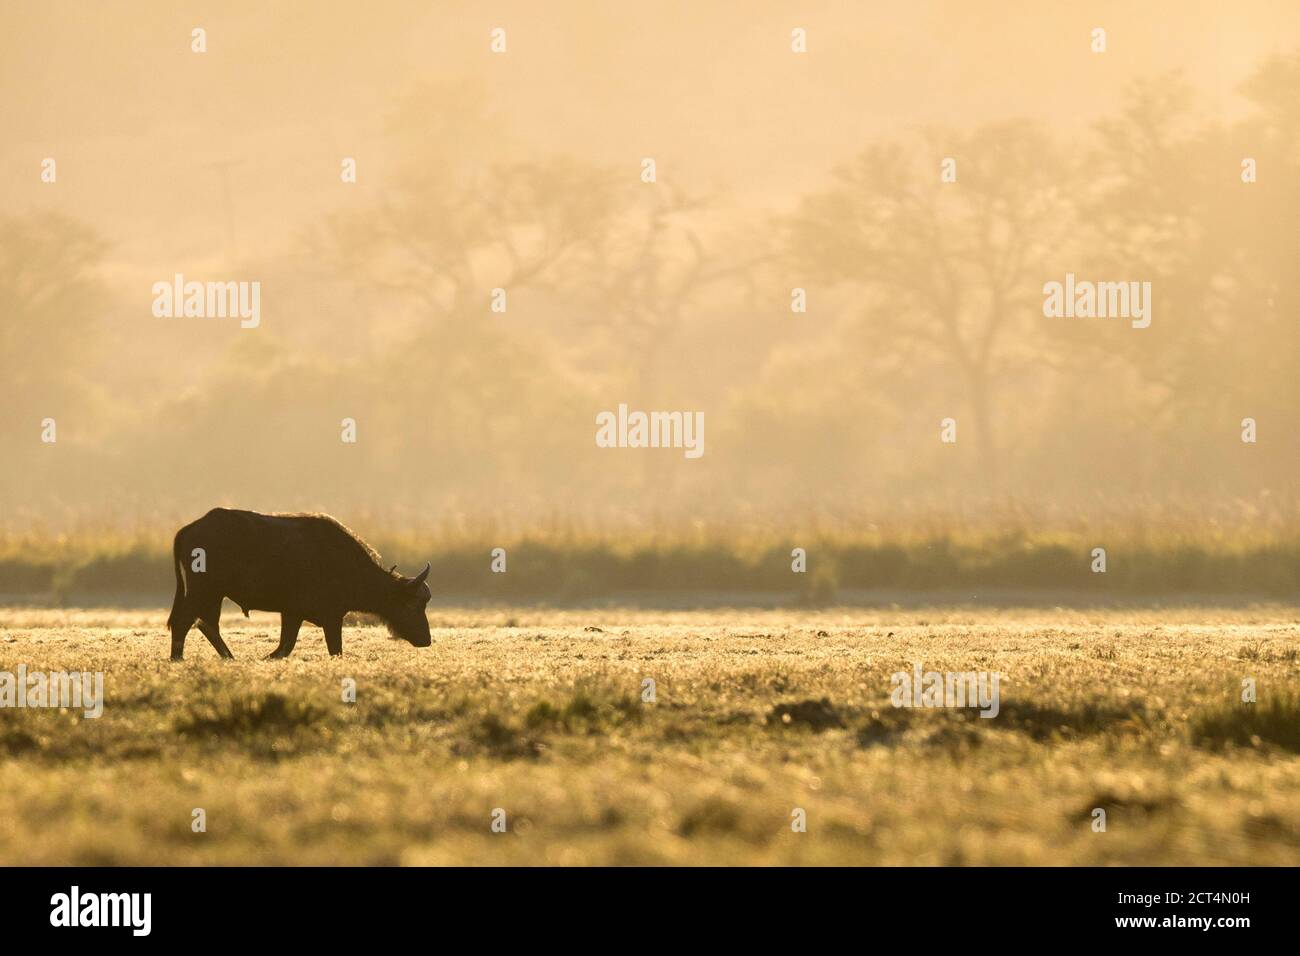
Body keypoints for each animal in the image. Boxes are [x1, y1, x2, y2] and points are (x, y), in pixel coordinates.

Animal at [165, 512, 431, 660]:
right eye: (413, 604)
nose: (426, 639)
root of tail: (188, 529)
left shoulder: (292, 614)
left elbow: (285, 646)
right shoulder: (331, 616)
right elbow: (334, 649)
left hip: (212, 595)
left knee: (204, 623)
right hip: (204, 591)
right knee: (187, 622)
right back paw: (182, 659)